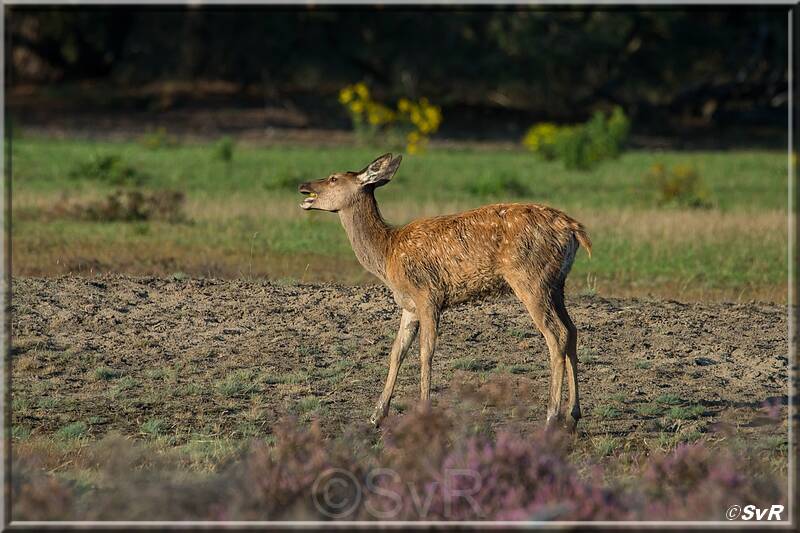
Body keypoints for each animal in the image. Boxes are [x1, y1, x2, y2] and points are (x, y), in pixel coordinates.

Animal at [298, 153, 592, 431]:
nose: (303, 186)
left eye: (333, 178)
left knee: (557, 334)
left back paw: (551, 418)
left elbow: (425, 352)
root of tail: (575, 230)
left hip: (530, 279)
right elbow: (397, 351)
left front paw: (423, 412)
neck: (387, 255)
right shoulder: (409, 305)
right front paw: (376, 416)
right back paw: (572, 416)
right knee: (572, 331)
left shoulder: (428, 295)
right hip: (556, 284)